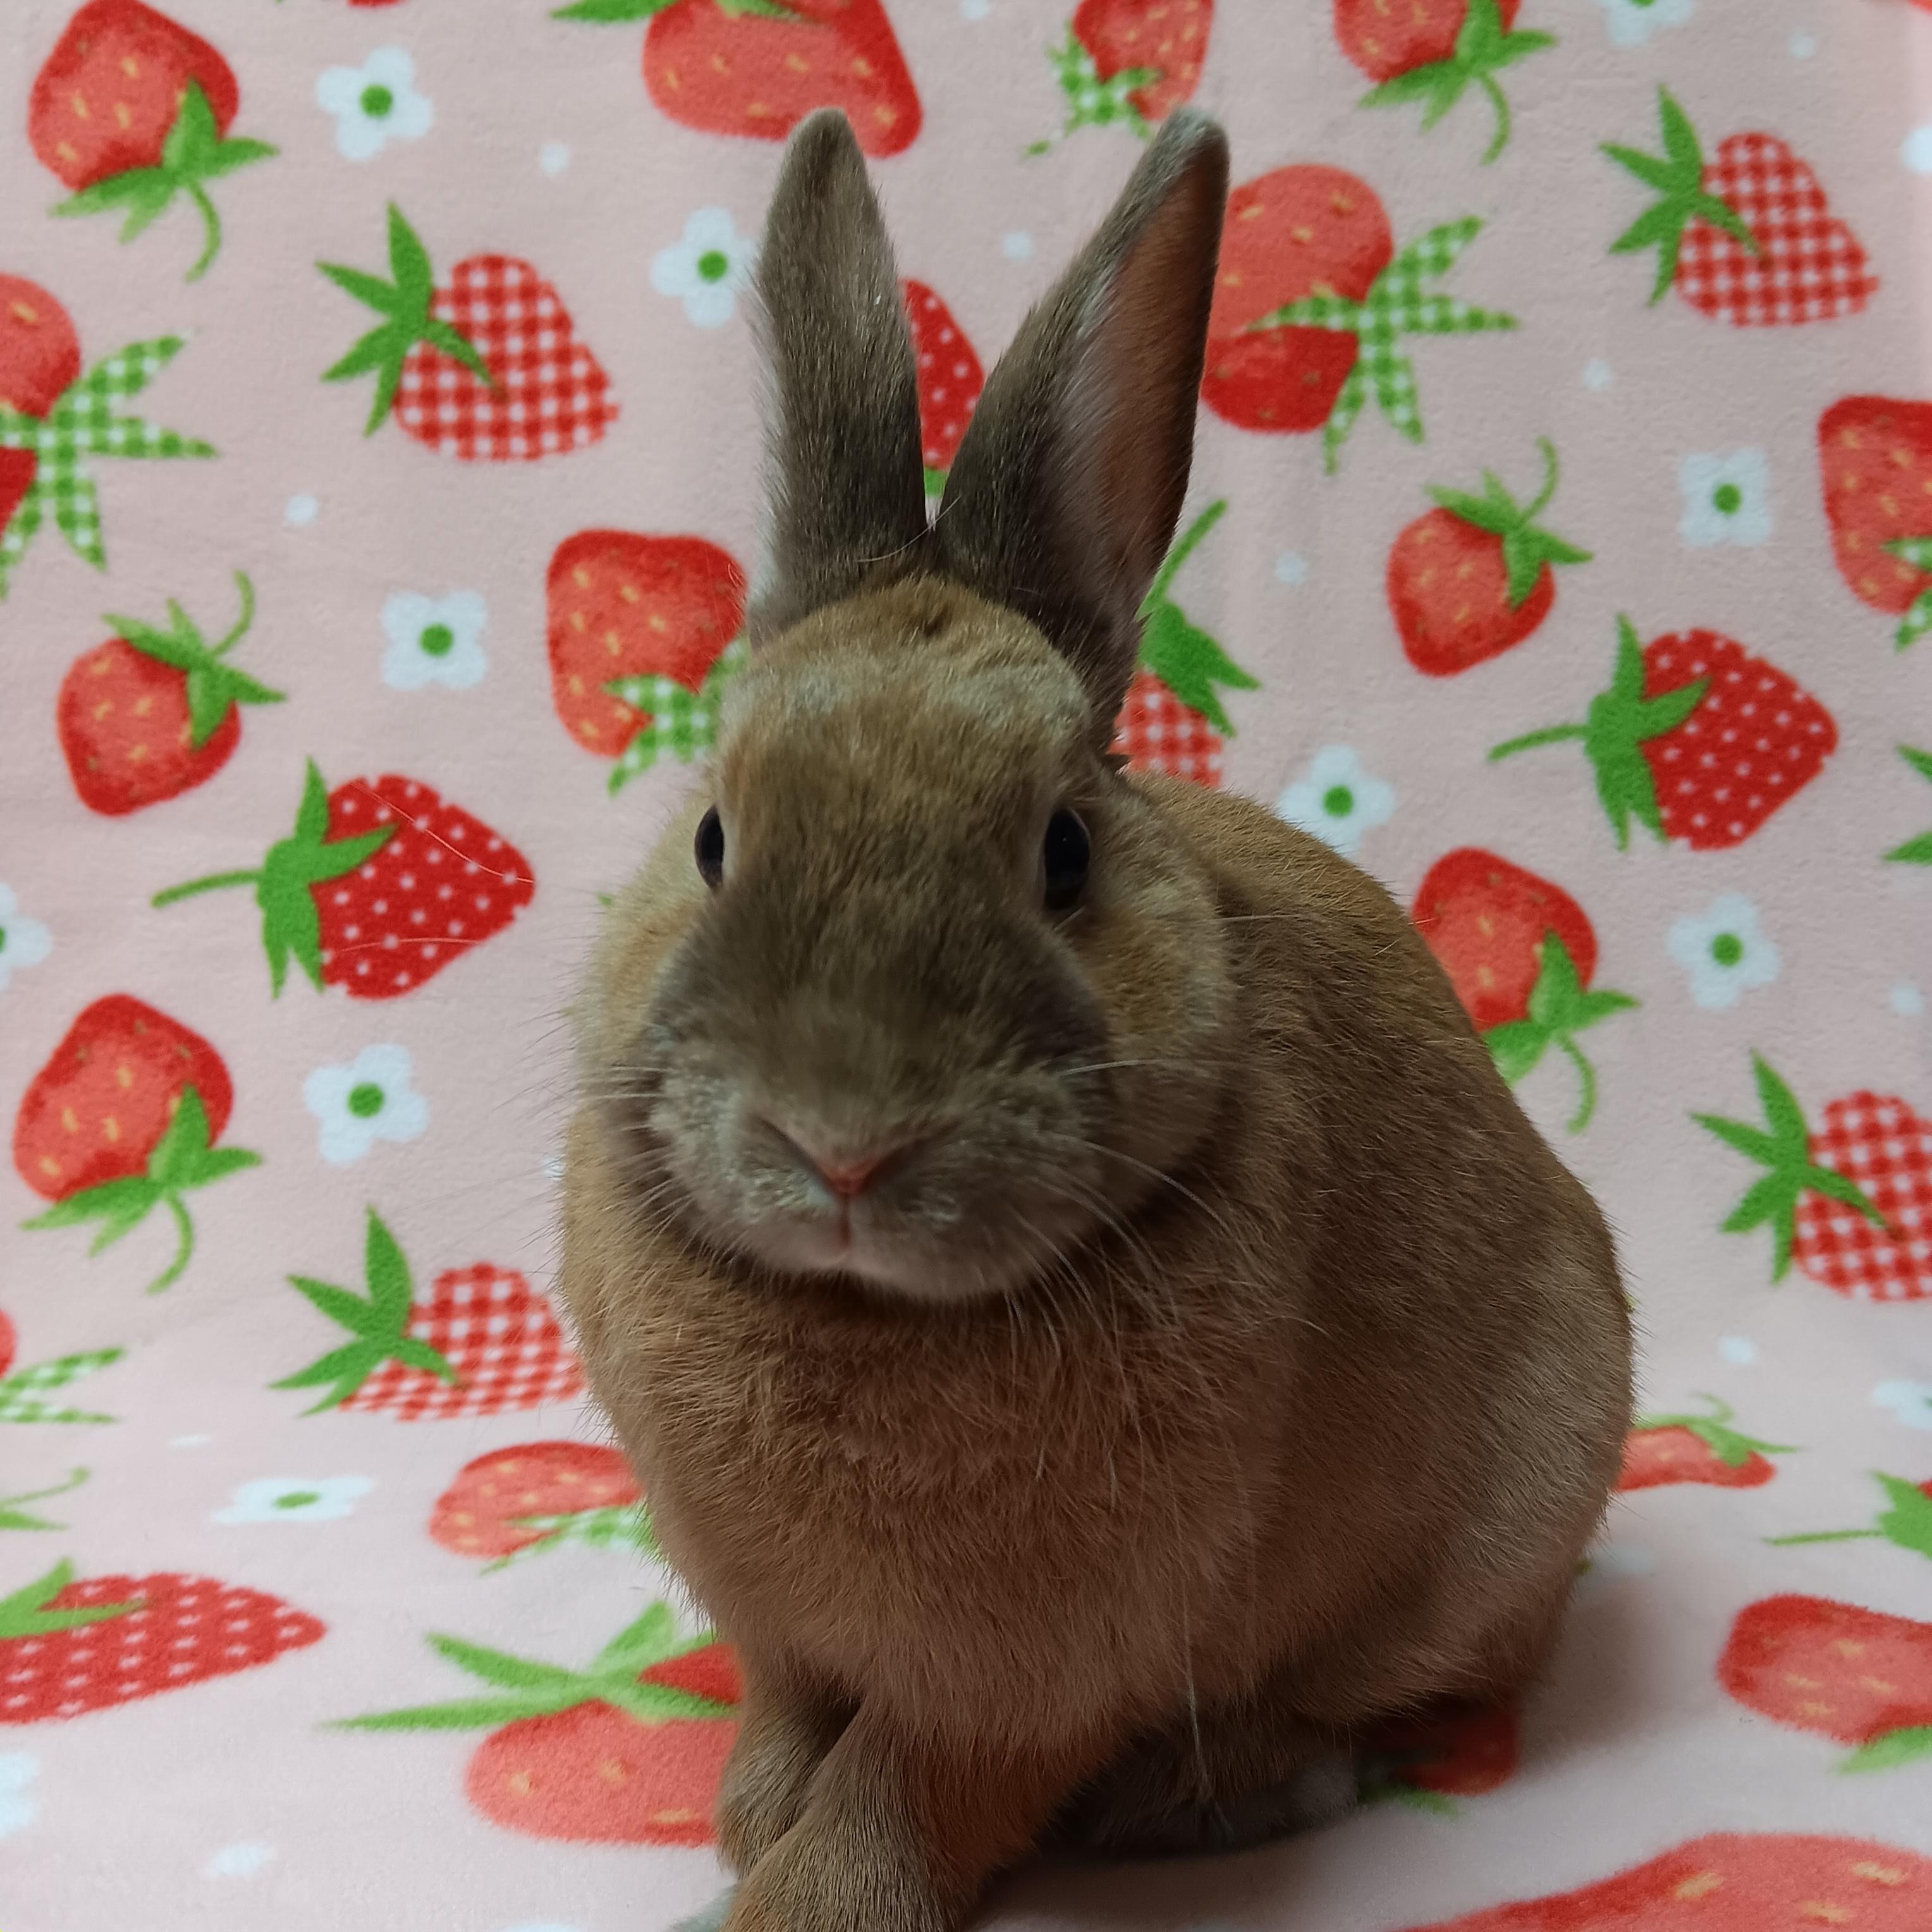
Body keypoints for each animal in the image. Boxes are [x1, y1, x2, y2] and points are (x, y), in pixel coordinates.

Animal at [560, 104, 1633, 1932]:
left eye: (1062, 851)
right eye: (711, 837)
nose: (842, 1146)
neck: (863, 1308)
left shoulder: (1015, 1685)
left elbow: (901, 1799)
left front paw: (789, 1896)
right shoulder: (774, 1629)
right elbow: (790, 1716)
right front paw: (747, 1815)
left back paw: (1220, 1791)